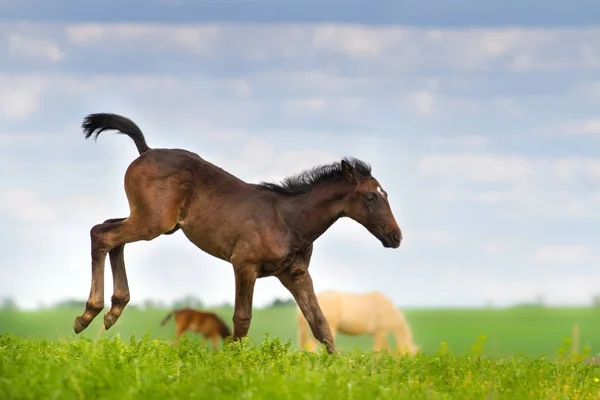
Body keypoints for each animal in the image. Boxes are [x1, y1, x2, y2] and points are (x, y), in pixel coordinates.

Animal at [71, 112, 404, 354]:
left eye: (385, 194)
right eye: (371, 197)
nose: (395, 236)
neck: (288, 220)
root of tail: (146, 150)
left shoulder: (294, 274)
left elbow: (320, 323)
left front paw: (341, 371)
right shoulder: (244, 265)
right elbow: (242, 320)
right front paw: (233, 365)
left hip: (152, 221)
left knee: (111, 232)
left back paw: (114, 309)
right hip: (154, 223)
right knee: (102, 234)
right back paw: (89, 314)